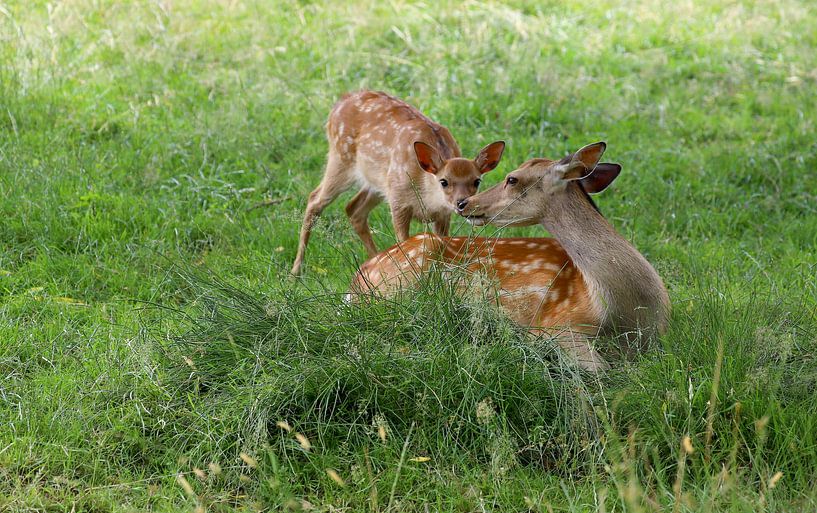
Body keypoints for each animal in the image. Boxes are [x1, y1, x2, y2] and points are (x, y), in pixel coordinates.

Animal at [286, 91, 504, 276]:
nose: (461, 203)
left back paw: (374, 259)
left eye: (476, 181)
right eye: (444, 181)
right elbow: (404, 242)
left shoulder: (442, 214)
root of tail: (340, 101)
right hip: (342, 159)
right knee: (315, 199)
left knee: (354, 208)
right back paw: (296, 270)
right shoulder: (399, 203)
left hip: (379, 181)